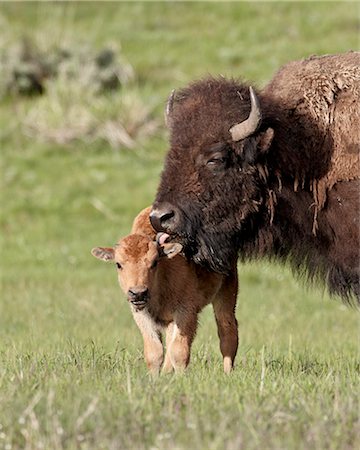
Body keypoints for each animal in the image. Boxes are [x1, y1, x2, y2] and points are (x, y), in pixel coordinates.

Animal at [93, 209, 238, 374]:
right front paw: (155, 376)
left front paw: (180, 376)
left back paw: (227, 373)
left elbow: (179, 351)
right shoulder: (142, 314)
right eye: (118, 264)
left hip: (226, 290)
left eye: (154, 262)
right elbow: (155, 351)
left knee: (227, 330)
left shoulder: (185, 312)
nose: (138, 293)